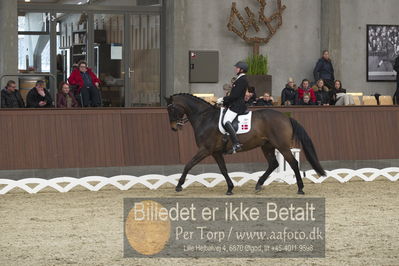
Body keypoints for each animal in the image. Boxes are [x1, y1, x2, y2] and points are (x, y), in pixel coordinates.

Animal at [165, 93, 324, 195]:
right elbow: (223, 170)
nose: (173, 128)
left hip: (282, 147)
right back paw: (259, 185)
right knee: (273, 164)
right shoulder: (215, 152)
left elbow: (189, 164)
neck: (204, 117)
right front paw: (230, 188)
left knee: (293, 164)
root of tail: (286, 117)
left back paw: (300, 188)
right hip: (267, 146)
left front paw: (179, 185)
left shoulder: (205, 149)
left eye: (171, 108)